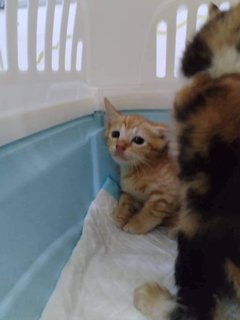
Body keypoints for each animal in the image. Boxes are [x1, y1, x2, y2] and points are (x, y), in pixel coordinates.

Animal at [104, 96, 179, 234]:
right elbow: (124, 198)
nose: (119, 146)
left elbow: (151, 211)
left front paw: (135, 224)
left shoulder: (167, 194)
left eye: (138, 140)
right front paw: (121, 214)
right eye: (115, 134)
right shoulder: (129, 191)